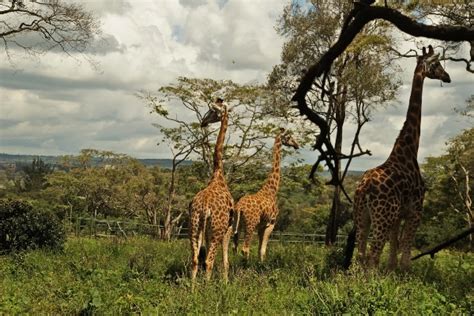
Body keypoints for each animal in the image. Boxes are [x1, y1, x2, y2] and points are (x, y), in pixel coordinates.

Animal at [188, 98, 234, 282]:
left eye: (213, 111)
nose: (203, 121)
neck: (218, 175)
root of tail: (204, 208)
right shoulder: (228, 229)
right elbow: (226, 262)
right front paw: (226, 283)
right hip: (215, 231)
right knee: (208, 261)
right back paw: (208, 289)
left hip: (194, 227)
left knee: (195, 260)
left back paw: (192, 288)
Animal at [231, 128, 298, 262]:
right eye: (289, 137)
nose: (297, 145)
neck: (271, 190)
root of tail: (239, 207)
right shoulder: (271, 223)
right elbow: (263, 250)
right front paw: (262, 265)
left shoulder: (261, 226)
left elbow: (259, 250)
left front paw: (260, 263)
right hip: (250, 224)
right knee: (245, 248)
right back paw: (246, 265)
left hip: (238, 224)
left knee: (234, 247)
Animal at [356, 45, 452, 270]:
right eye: (436, 64)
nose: (448, 76)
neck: (408, 150)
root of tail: (364, 187)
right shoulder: (416, 210)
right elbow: (406, 250)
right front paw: (406, 272)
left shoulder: (399, 215)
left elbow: (394, 247)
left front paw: (391, 271)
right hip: (382, 216)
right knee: (372, 257)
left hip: (362, 216)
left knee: (360, 254)